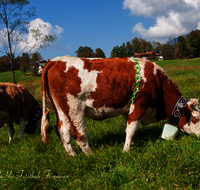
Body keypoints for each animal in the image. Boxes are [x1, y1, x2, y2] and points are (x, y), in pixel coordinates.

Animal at [40, 56, 200, 156]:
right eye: (195, 119)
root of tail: (55, 60)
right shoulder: (140, 103)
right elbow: (132, 129)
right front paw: (126, 151)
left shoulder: (129, 109)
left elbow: (128, 127)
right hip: (74, 108)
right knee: (78, 134)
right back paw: (91, 155)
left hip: (61, 109)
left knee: (63, 131)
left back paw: (73, 156)